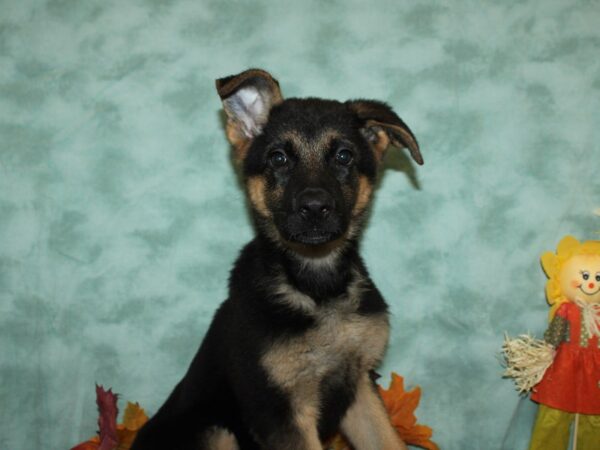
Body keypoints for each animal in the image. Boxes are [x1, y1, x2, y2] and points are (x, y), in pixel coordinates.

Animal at [131, 67, 422, 450]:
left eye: (344, 157)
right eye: (278, 158)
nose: (314, 208)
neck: (317, 288)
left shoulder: (359, 386)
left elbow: (388, 441)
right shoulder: (280, 412)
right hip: (214, 432)